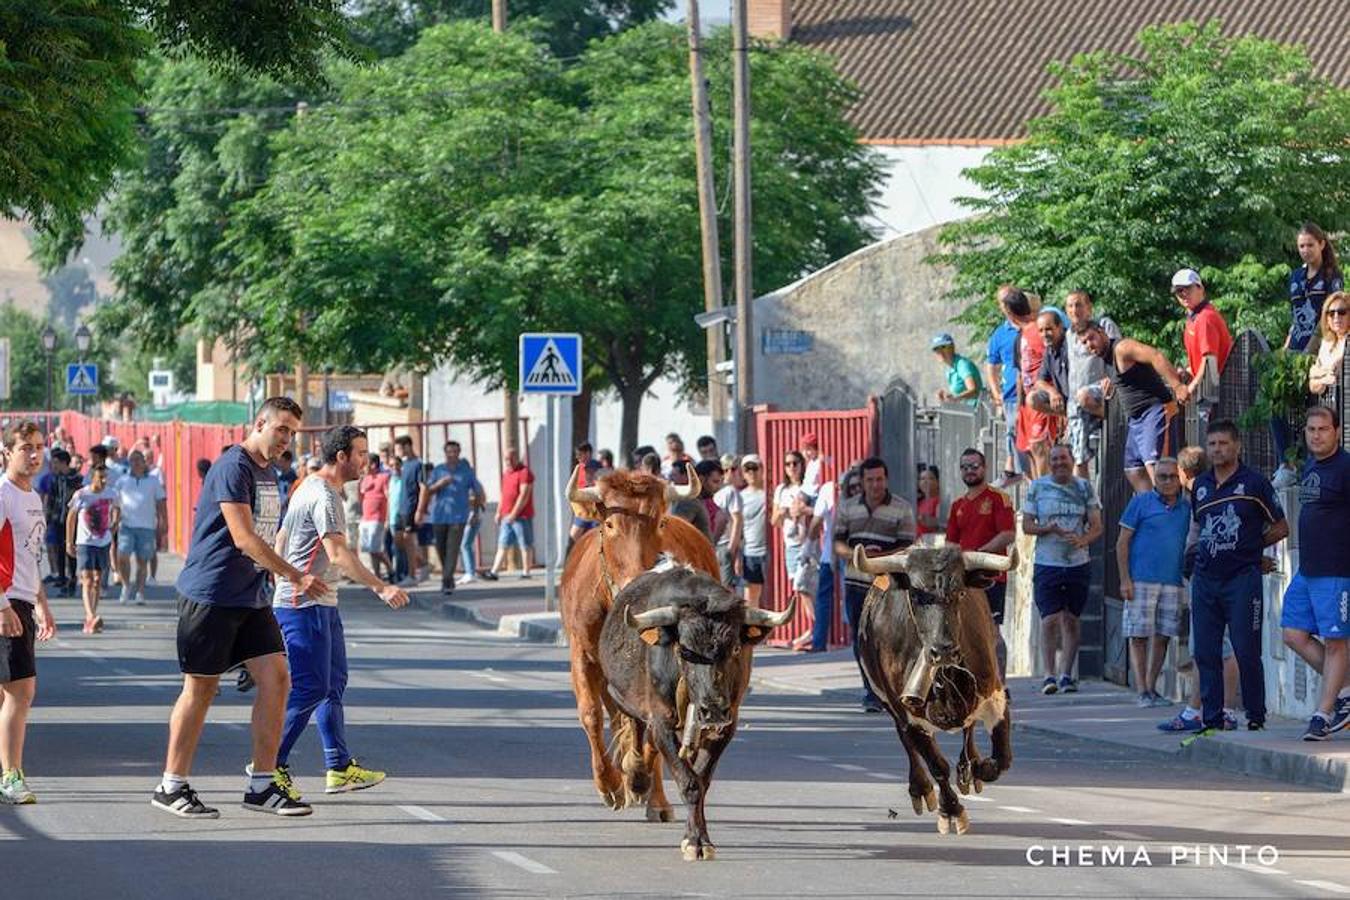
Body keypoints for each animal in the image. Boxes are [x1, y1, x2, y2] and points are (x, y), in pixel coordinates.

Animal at [558, 464, 723, 825]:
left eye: (659, 522)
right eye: (609, 524)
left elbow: (650, 727)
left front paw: (635, 776)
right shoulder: (582, 654)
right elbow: (591, 713)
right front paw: (609, 783)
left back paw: (652, 794)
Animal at [599, 566, 793, 863]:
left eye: (735, 648)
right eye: (683, 650)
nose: (712, 707)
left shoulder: (725, 726)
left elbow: (701, 781)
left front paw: (701, 839)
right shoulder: (662, 721)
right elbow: (688, 781)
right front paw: (694, 842)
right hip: (621, 697)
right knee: (636, 730)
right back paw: (637, 778)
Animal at [853, 542, 1015, 836]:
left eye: (960, 592)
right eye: (917, 595)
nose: (944, 650)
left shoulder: (995, 696)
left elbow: (1001, 759)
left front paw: (979, 767)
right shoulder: (906, 711)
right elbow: (937, 765)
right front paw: (951, 811)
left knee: (968, 730)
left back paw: (969, 766)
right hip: (889, 704)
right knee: (908, 742)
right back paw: (921, 788)